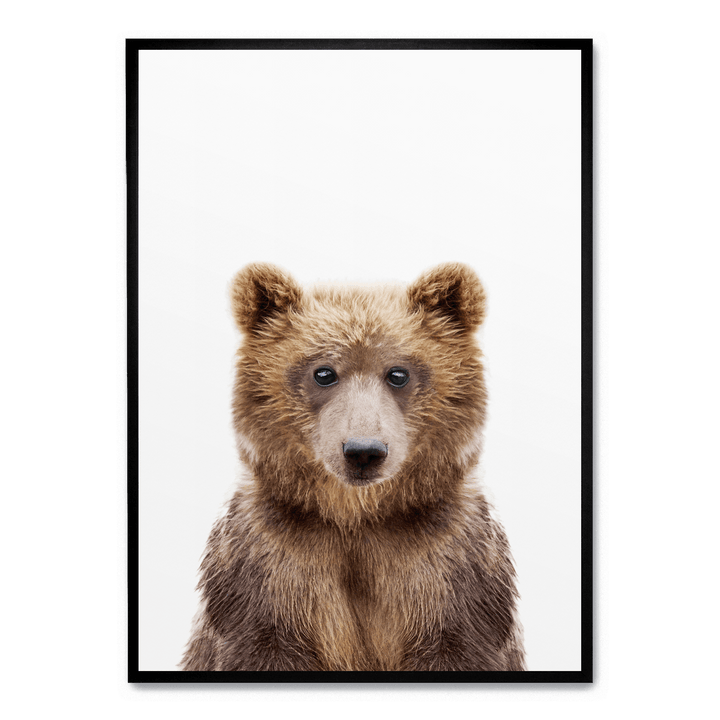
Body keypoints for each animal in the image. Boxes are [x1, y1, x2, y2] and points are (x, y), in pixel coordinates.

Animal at [181, 262, 526, 672]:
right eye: (324, 372)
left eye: (398, 373)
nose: (363, 451)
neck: (357, 517)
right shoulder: (268, 568)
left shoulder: (450, 568)